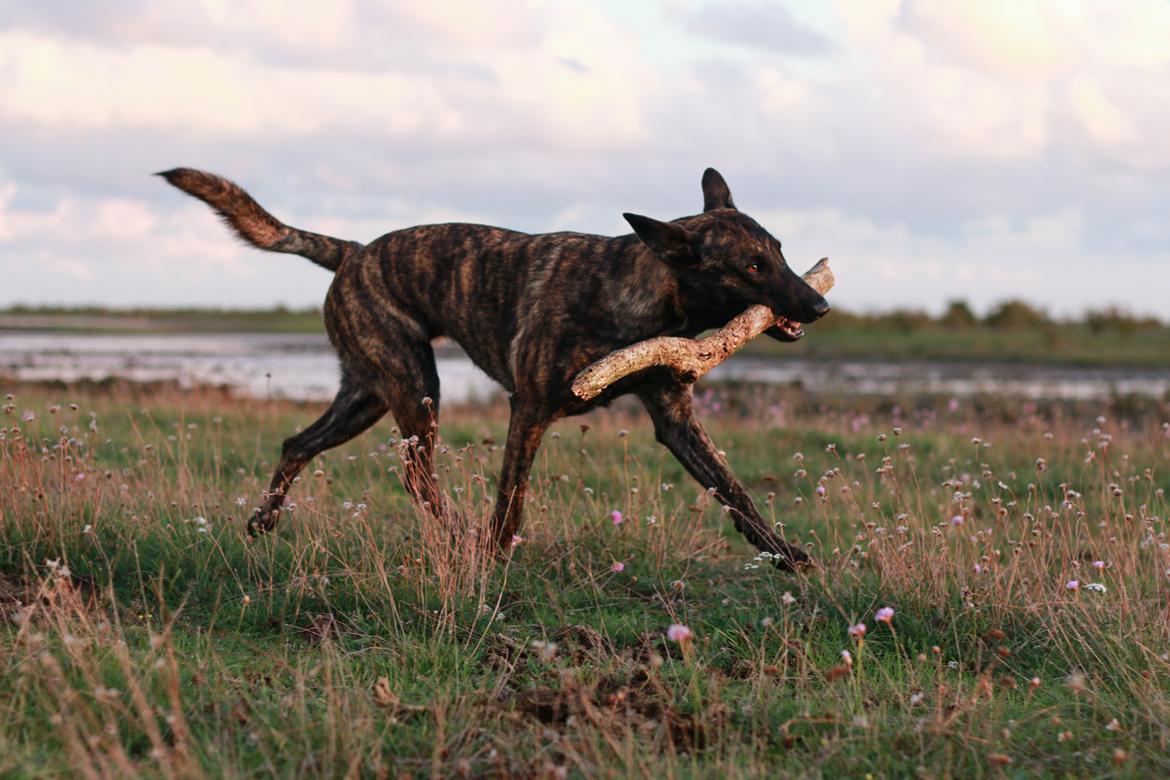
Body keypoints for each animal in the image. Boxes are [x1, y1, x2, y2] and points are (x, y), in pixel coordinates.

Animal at [160, 166, 828, 568]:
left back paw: (263, 522)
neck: (640, 295)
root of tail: (352, 253)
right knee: (414, 475)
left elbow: (734, 491)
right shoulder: (528, 408)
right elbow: (511, 498)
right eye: (751, 267)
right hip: (415, 385)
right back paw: (456, 534)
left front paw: (784, 554)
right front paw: (495, 555)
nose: (820, 306)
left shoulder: (675, 419)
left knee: (297, 443)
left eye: (780, 253)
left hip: (367, 394)